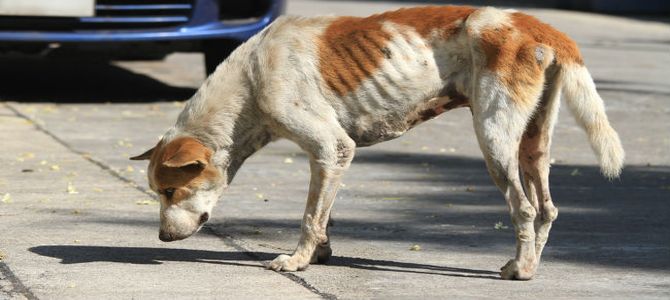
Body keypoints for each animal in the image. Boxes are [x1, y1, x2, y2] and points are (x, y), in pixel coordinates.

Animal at [131, 5, 624, 280]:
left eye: (171, 191)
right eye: (158, 192)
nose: (161, 237)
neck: (251, 78)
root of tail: (540, 27)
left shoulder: (331, 149)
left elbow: (309, 217)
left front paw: (297, 261)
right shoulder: (332, 159)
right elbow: (324, 215)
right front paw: (321, 254)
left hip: (496, 140)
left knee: (522, 208)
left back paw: (520, 270)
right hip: (533, 144)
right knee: (546, 209)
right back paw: (531, 266)